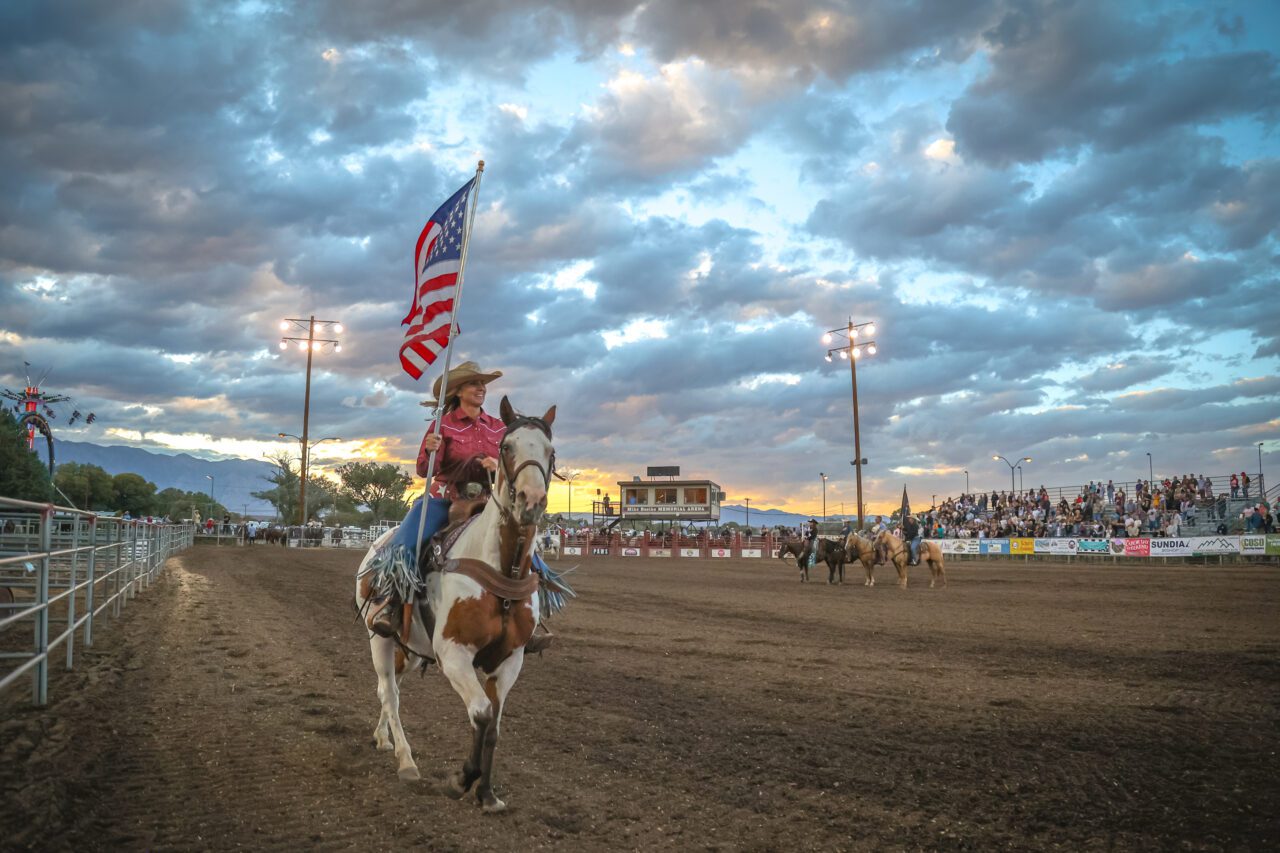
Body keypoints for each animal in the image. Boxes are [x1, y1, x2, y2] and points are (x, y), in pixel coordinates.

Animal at [355, 399, 555, 809]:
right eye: (506, 447)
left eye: (551, 451)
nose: (531, 501)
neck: (500, 567)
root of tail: (376, 546)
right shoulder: (453, 654)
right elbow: (480, 714)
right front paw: (462, 779)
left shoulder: (510, 660)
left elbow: (494, 727)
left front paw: (488, 794)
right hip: (379, 638)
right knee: (390, 693)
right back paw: (406, 761)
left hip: (411, 649)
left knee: (390, 690)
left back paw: (382, 738)